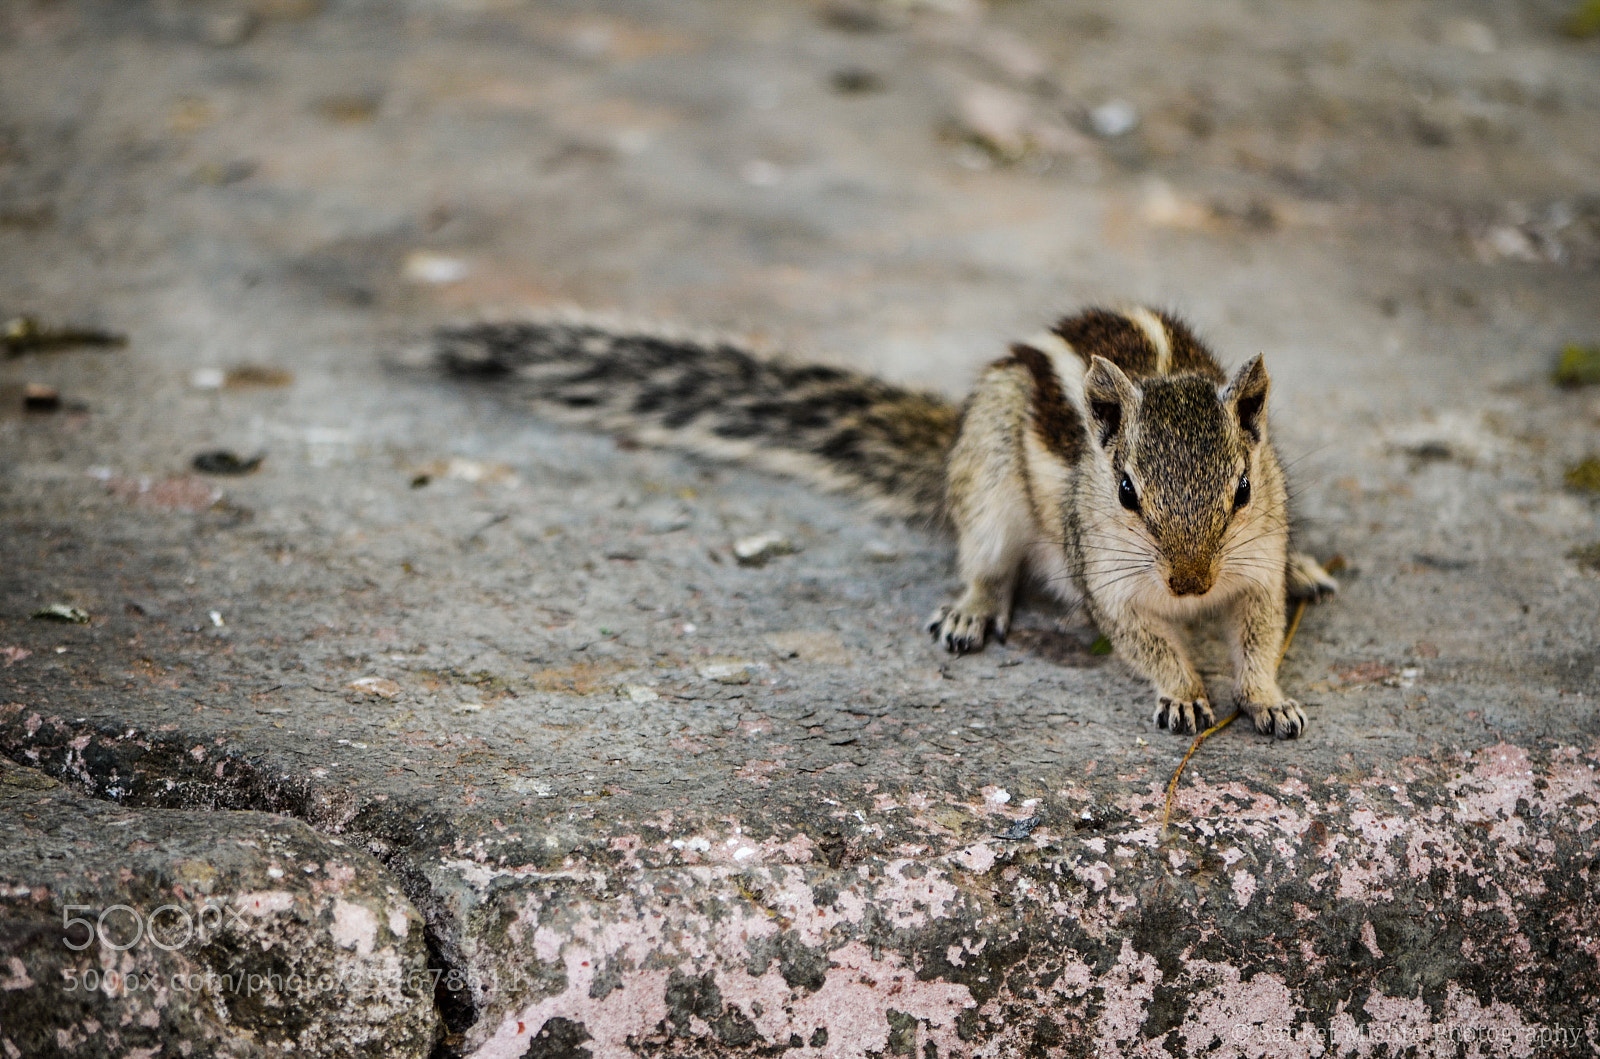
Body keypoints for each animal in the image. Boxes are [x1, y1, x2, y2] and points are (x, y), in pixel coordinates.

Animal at [437, 306, 1336, 739]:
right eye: (1124, 492)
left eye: (1243, 489)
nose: (1190, 581)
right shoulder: (1104, 579)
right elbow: (1140, 638)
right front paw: (1184, 689)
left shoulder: (1251, 566)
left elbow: (1260, 632)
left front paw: (1268, 696)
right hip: (988, 482)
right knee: (984, 557)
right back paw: (974, 606)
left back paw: (1308, 569)